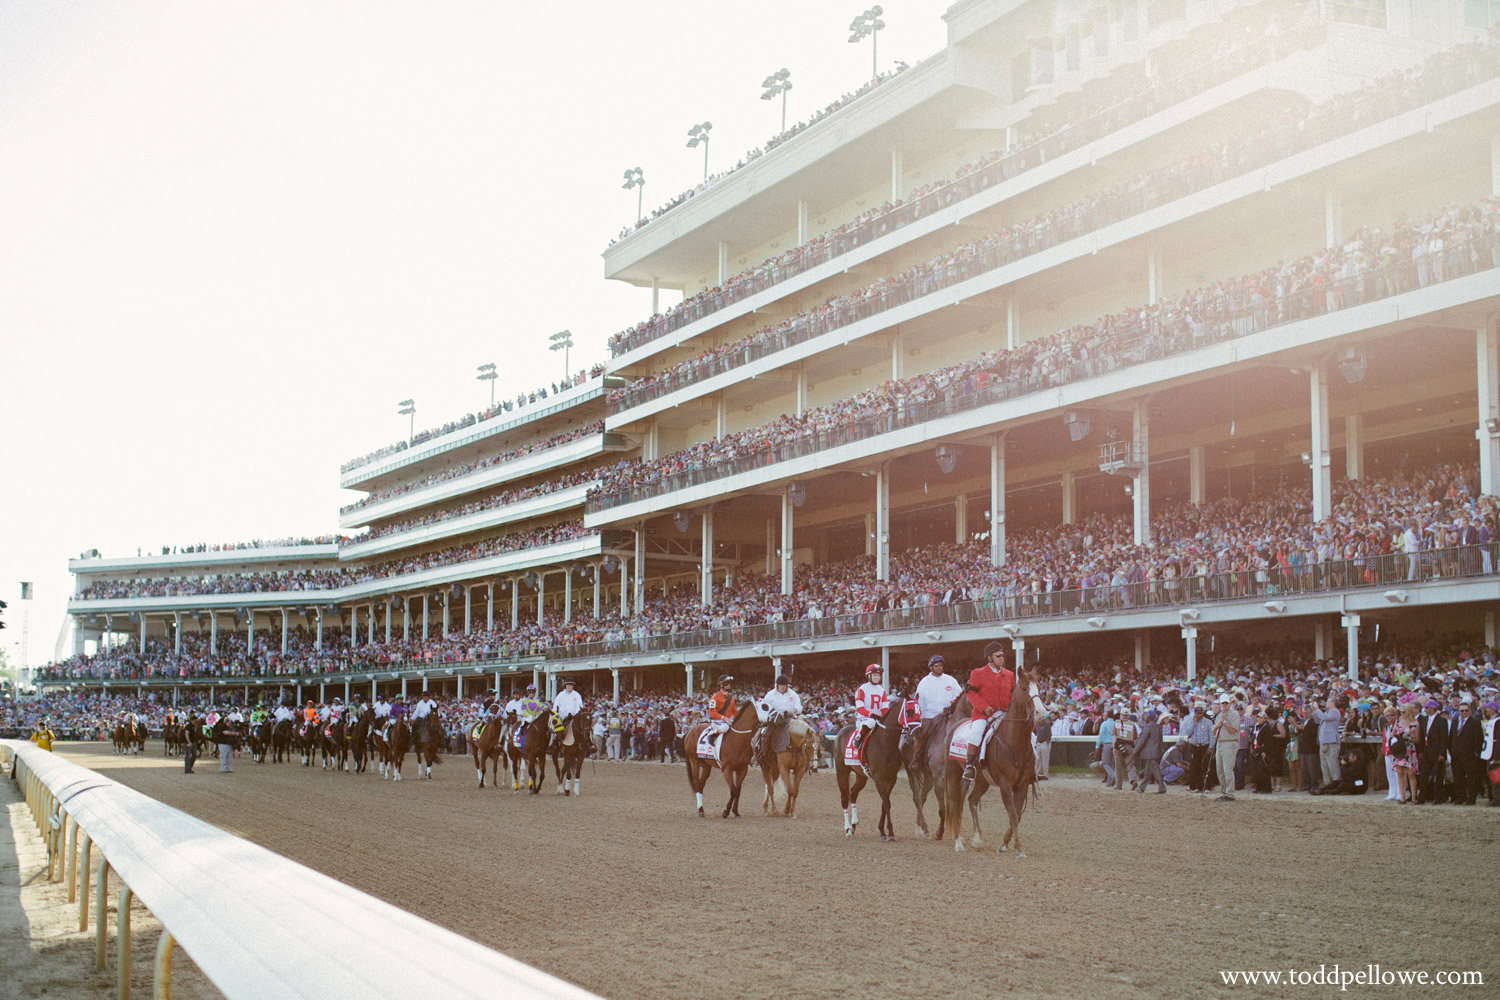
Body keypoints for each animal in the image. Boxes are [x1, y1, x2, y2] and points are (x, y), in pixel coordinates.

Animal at [834, 695, 900, 845]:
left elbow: (884, 803)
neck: (886, 741)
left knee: (853, 793)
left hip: (861, 775)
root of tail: (841, 730)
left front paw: (882, 831)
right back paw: (847, 829)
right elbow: (886, 802)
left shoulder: (891, 777)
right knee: (844, 797)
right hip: (841, 771)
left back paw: (853, 824)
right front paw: (890, 833)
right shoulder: (878, 777)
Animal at [936, 668, 1044, 857]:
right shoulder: (1005, 784)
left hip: (982, 780)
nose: (1041, 712)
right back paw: (958, 842)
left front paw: (1004, 845)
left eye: (1038, 687)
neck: (1015, 742)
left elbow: (1017, 815)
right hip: (954, 774)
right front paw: (1018, 849)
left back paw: (977, 839)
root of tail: (954, 726)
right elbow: (1013, 814)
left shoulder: (1022, 785)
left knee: (971, 800)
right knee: (956, 803)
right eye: (1024, 688)